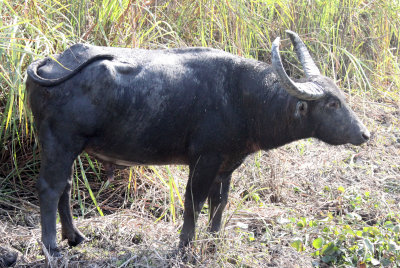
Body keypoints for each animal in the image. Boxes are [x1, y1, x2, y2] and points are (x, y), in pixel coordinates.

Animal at [24, 30, 368, 256]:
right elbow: (194, 202)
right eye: (332, 103)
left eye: (341, 95)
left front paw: (214, 241)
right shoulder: (204, 160)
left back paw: (75, 237)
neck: (244, 98)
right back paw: (52, 246)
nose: (364, 134)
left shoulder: (227, 165)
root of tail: (52, 62)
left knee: (65, 186)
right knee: (50, 188)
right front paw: (184, 246)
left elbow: (219, 203)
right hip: (59, 143)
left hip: (70, 149)